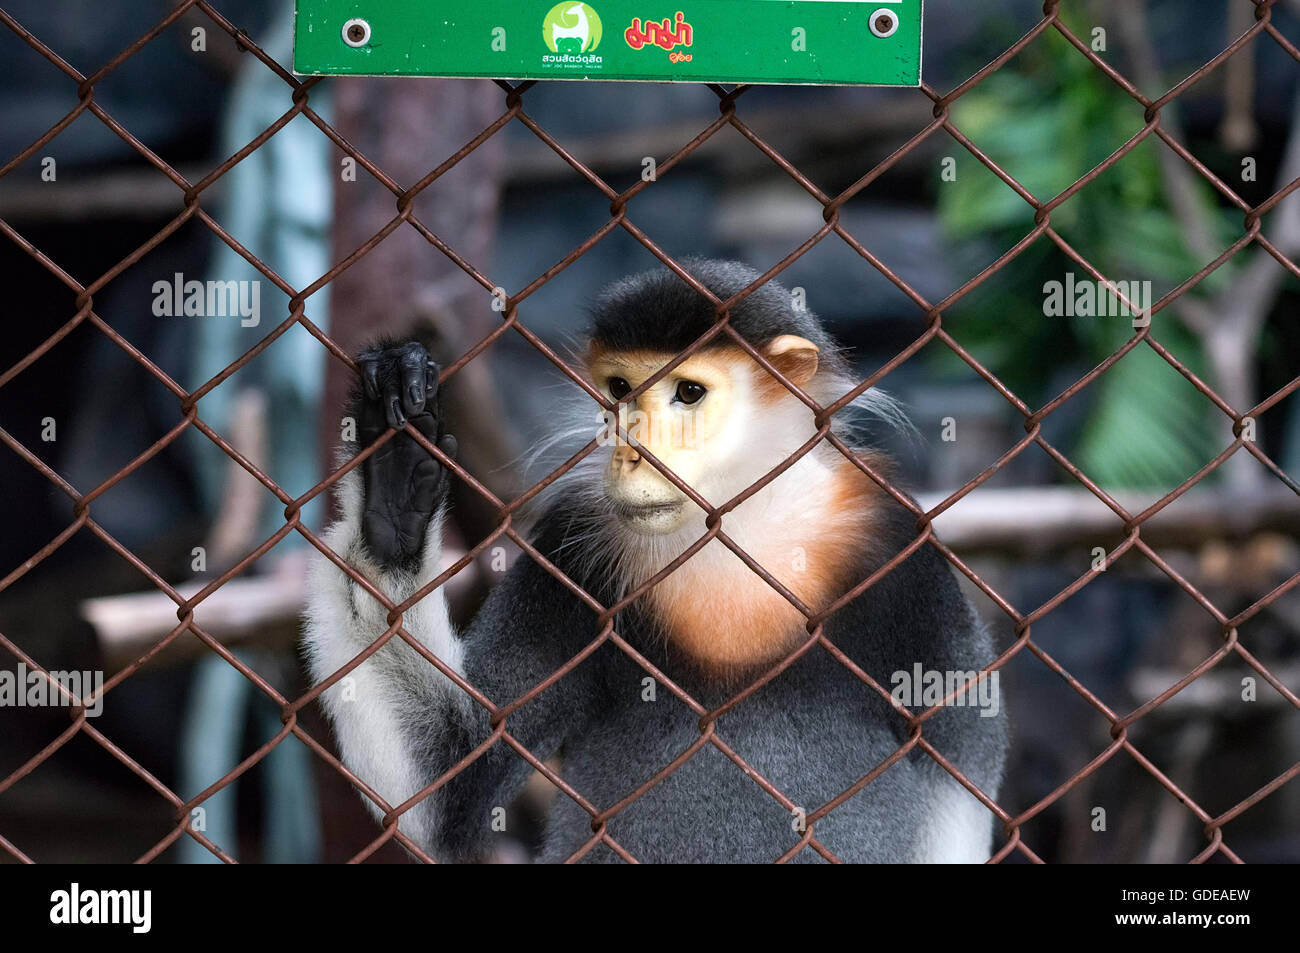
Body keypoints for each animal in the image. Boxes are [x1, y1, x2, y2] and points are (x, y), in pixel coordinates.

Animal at [301, 256, 1003, 858]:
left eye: (688, 393)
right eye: (619, 389)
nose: (631, 450)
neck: (735, 526)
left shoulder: (902, 546)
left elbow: (959, 770)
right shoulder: (568, 547)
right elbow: (452, 783)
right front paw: (391, 483)